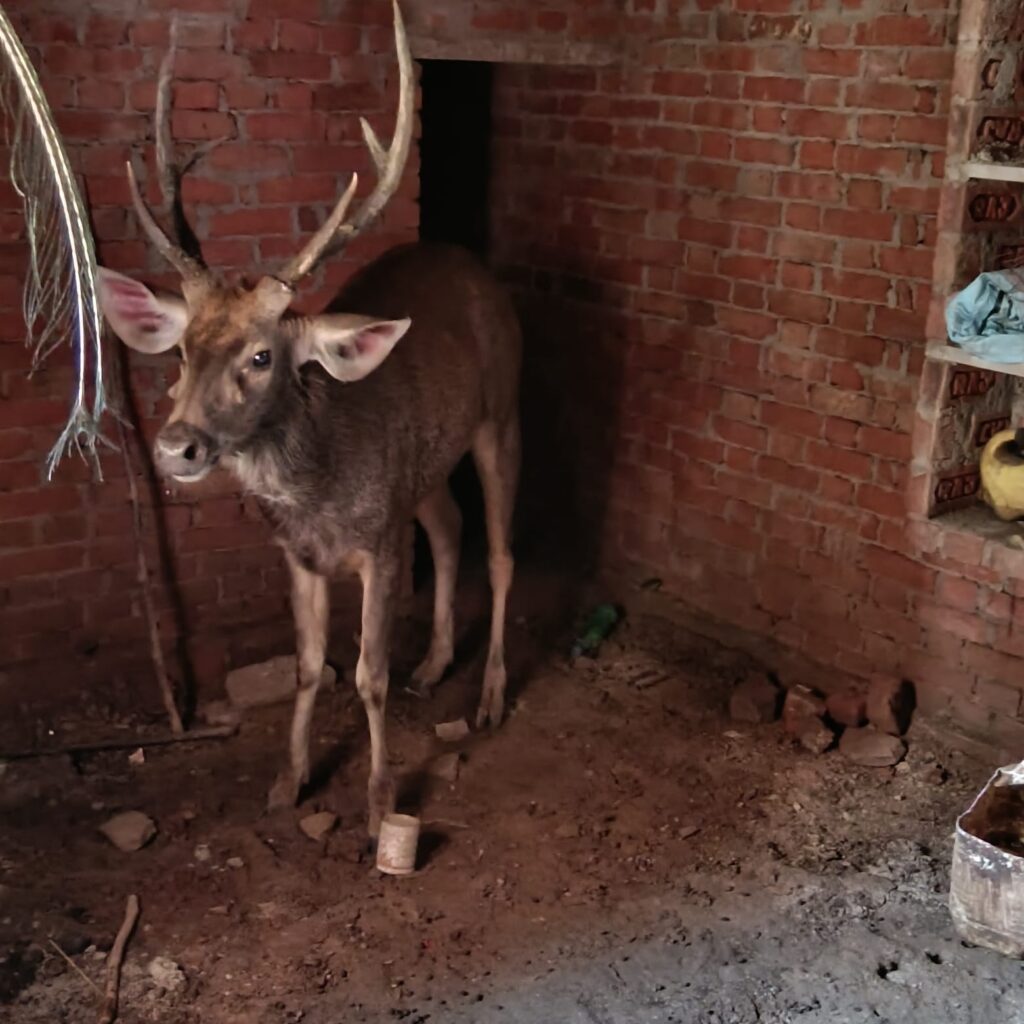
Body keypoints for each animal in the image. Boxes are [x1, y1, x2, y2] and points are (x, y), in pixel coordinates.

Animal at [95, 1, 522, 837]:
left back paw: (490, 695)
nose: (176, 445)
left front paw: (381, 800)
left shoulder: (379, 545)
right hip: (425, 467)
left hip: (503, 414)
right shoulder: (298, 554)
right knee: (449, 527)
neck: (321, 496)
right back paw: (436, 664)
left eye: (262, 356)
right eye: (181, 352)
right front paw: (286, 781)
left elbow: (367, 673)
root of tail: (478, 268)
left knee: (499, 551)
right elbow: (306, 665)